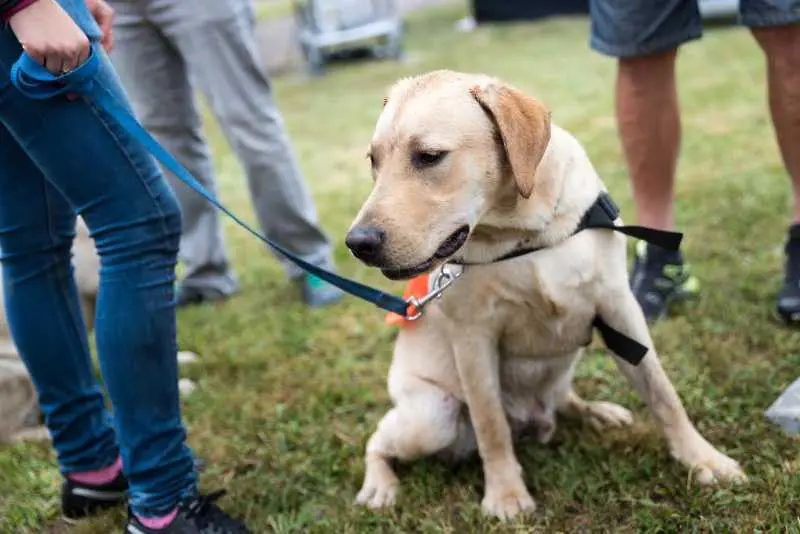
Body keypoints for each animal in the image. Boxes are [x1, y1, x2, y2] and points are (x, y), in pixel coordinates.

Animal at [346, 69, 752, 520]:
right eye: (373, 161)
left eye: (429, 156)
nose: (357, 242)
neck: (526, 235)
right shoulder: (473, 339)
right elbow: (491, 425)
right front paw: (505, 494)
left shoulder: (619, 307)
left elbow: (663, 393)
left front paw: (703, 459)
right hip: (431, 417)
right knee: (378, 442)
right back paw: (379, 486)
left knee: (566, 398)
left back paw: (597, 413)